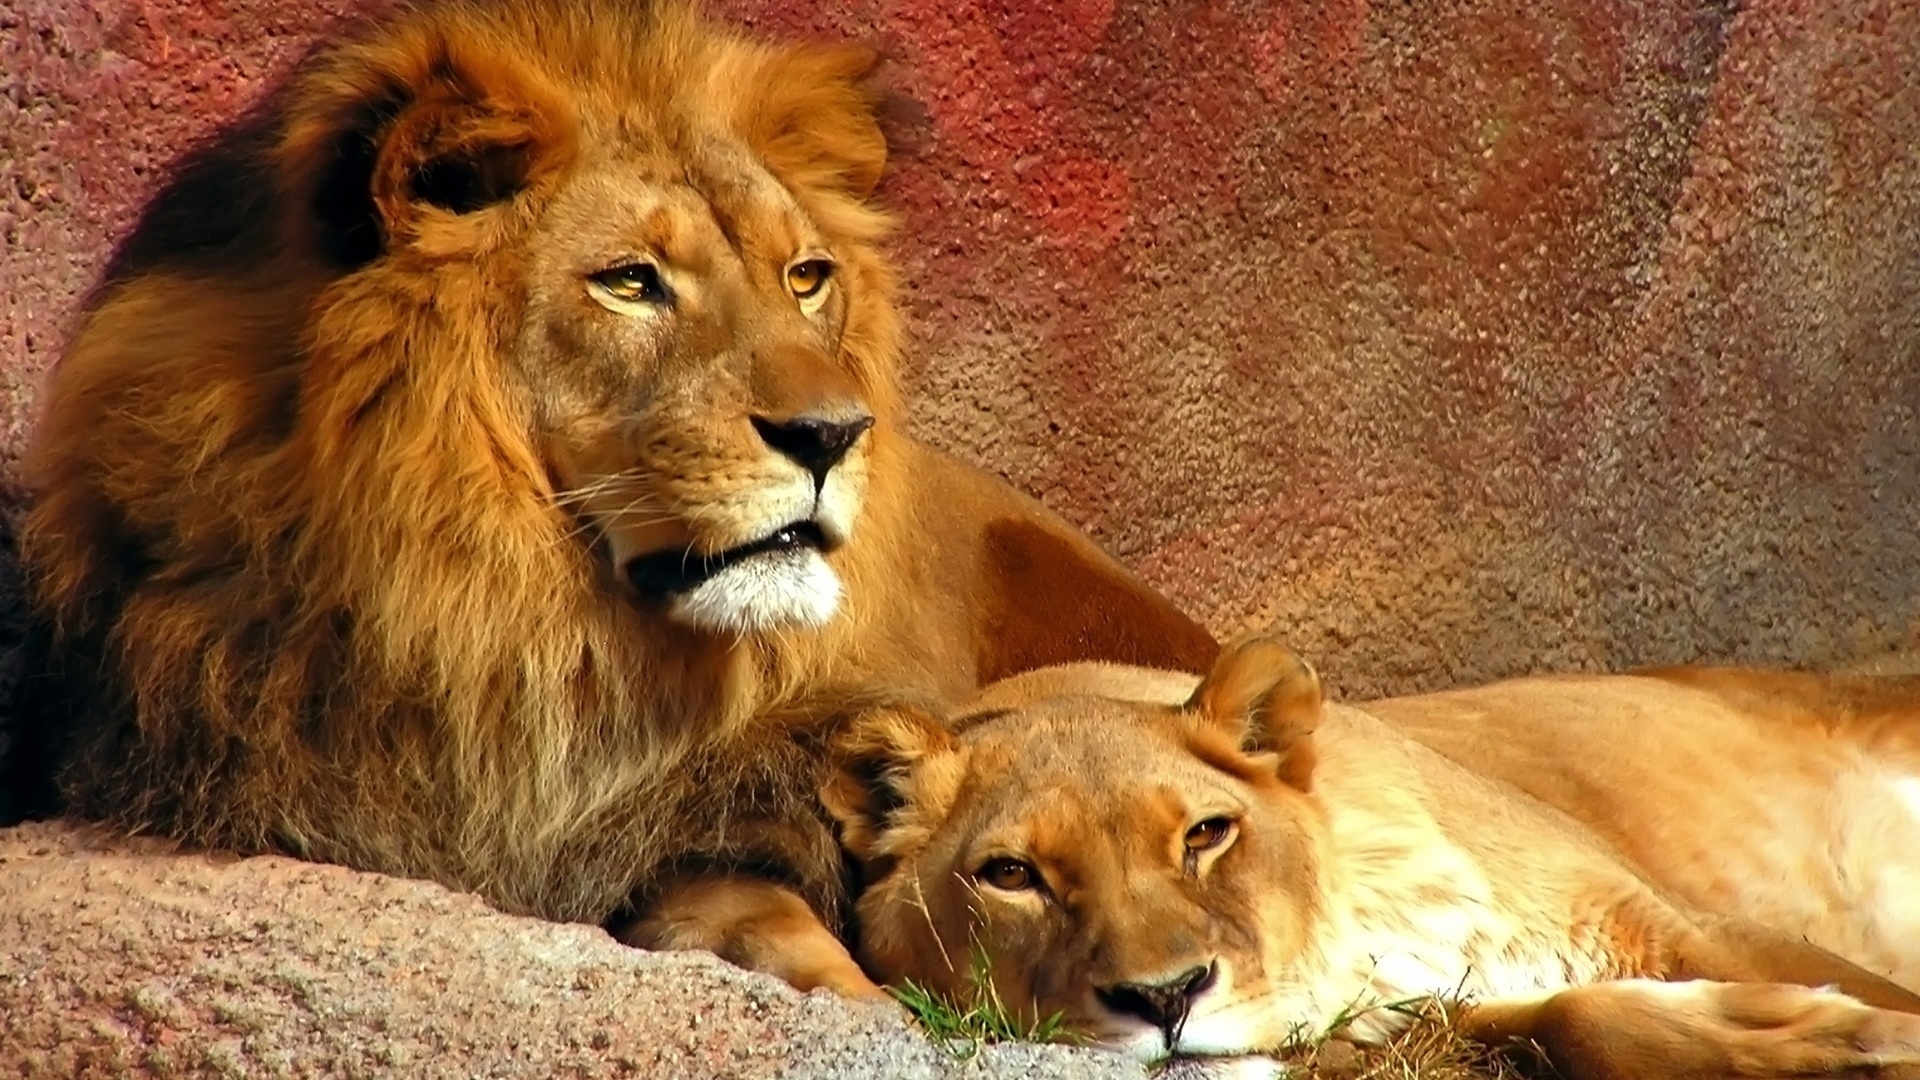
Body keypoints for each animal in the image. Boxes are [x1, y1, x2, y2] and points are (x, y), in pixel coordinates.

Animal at [833, 634, 1920, 1068]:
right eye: (1012, 876)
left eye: (1205, 835)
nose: (1164, 999)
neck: (1374, 916)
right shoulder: (1439, 1012)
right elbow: (1578, 1019)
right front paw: (1822, 1042)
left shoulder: (1676, 917)